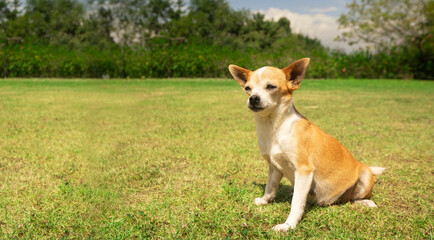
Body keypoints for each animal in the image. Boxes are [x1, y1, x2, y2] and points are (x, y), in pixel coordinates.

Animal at [229, 57, 384, 232]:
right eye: (248, 88)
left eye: (271, 87)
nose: (253, 98)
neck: (274, 128)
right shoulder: (274, 167)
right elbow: (270, 187)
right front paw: (264, 200)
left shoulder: (304, 170)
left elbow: (296, 203)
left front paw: (288, 225)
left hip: (364, 176)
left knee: (354, 198)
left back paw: (366, 202)